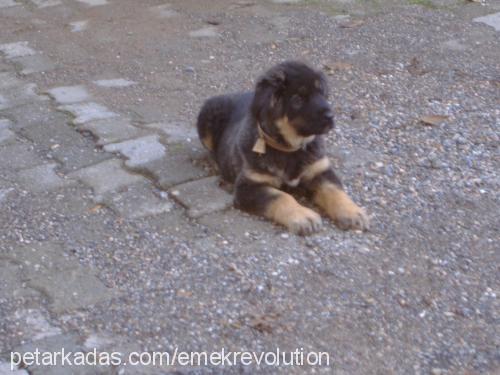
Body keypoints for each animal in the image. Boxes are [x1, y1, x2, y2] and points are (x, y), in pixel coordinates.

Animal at [197, 61, 370, 235]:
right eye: (298, 99)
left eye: (321, 93)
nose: (330, 116)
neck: (291, 149)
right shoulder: (248, 186)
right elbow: (281, 197)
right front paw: (303, 216)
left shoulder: (320, 170)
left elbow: (334, 191)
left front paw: (352, 212)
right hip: (206, 117)